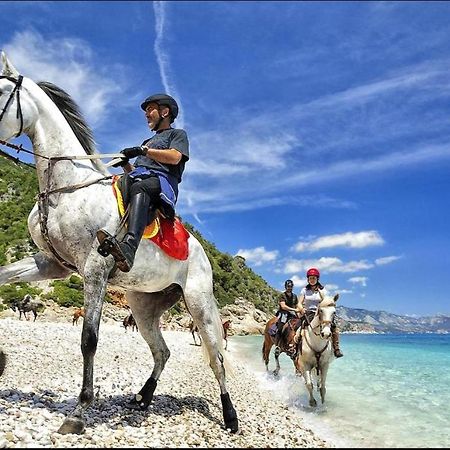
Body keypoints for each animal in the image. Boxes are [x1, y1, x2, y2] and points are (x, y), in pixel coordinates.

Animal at [0, 51, 239, 434]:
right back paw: (143, 397)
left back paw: (230, 416)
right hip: (143, 305)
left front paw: (79, 411)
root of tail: (201, 251)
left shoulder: (94, 269)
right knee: (162, 351)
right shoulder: (50, 264)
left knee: (216, 358)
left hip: (199, 302)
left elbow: (89, 340)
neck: (66, 188)